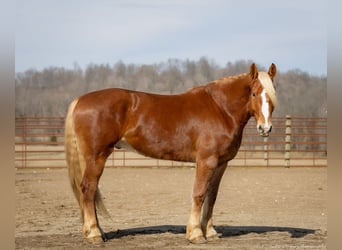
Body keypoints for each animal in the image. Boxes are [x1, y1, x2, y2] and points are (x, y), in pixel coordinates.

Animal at [65, 63, 278, 244]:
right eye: (253, 93)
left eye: (272, 95)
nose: (265, 128)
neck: (220, 109)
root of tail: (80, 100)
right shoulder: (206, 161)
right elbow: (199, 194)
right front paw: (196, 234)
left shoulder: (221, 164)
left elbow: (211, 196)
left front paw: (210, 232)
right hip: (97, 156)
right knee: (88, 188)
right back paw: (94, 234)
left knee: (91, 191)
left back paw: (98, 231)